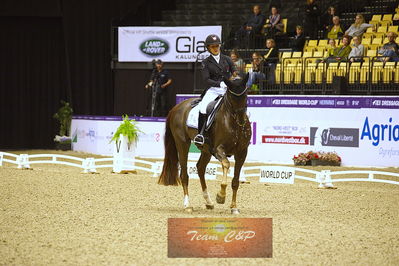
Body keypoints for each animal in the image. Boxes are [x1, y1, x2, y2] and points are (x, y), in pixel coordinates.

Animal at [158, 75, 252, 214]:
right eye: (231, 96)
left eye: (245, 94)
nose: (241, 120)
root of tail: (176, 107)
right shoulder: (218, 149)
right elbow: (226, 164)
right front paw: (221, 196)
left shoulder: (242, 152)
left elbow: (235, 181)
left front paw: (234, 207)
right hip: (182, 143)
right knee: (184, 174)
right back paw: (187, 205)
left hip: (206, 150)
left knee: (200, 168)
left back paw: (208, 202)